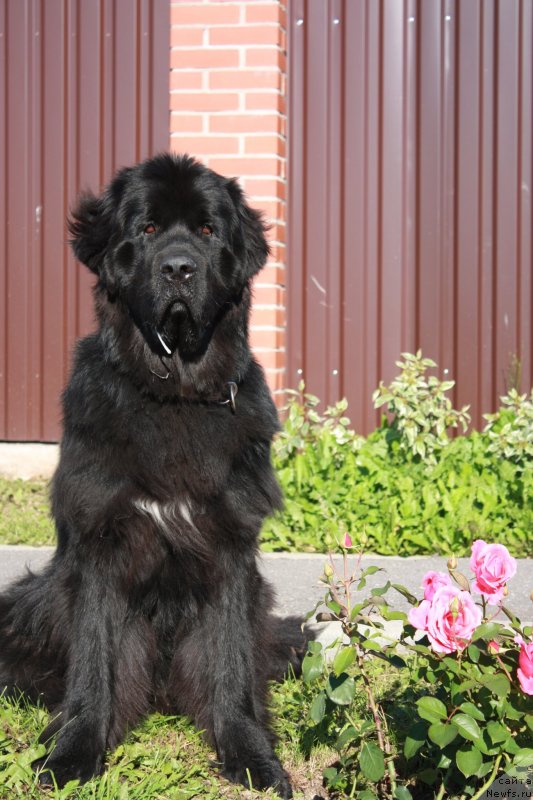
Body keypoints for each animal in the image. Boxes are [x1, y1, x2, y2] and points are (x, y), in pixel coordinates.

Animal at [0, 153, 294, 796]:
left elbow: (232, 663)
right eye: (149, 229)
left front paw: (252, 756)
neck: (174, 394)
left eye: (207, 231)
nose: (178, 269)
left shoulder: (230, 545)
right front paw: (72, 755)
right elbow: (95, 661)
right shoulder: (100, 541)